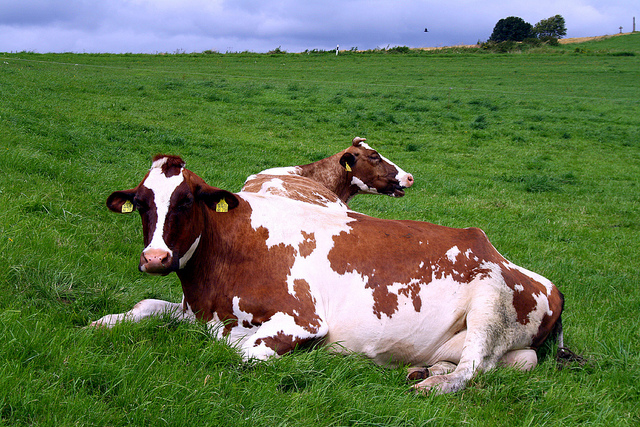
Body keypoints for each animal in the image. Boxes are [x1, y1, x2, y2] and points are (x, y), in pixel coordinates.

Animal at [92, 154, 568, 395]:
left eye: (188, 201)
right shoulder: (196, 309)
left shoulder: (301, 319)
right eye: (141, 203)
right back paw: (423, 371)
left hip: (490, 300)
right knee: (510, 362)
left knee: (472, 369)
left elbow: (239, 349)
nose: (155, 258)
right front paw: (98, 323)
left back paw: (431, 384)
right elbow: (146, 304)